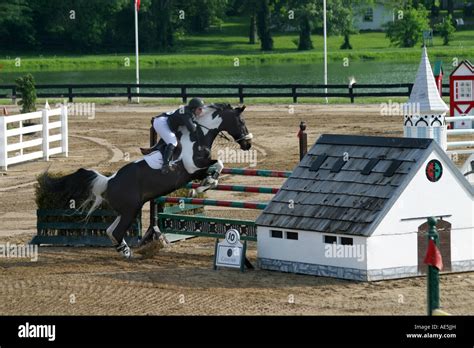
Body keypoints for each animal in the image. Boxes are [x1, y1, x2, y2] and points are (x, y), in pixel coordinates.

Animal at [44, 103, 252, 258]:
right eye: (241, 121)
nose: (248, 144)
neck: (198, 134)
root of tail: (108, 181)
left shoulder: (197, 170)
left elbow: (217, 166)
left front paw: (203, 186)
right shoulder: (193, 168)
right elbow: (216, 165)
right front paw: (202, 187)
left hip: (127, 210)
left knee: (110, 231)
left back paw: (124, 250)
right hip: (130, 210)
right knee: (116, 232)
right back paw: (128, 254)